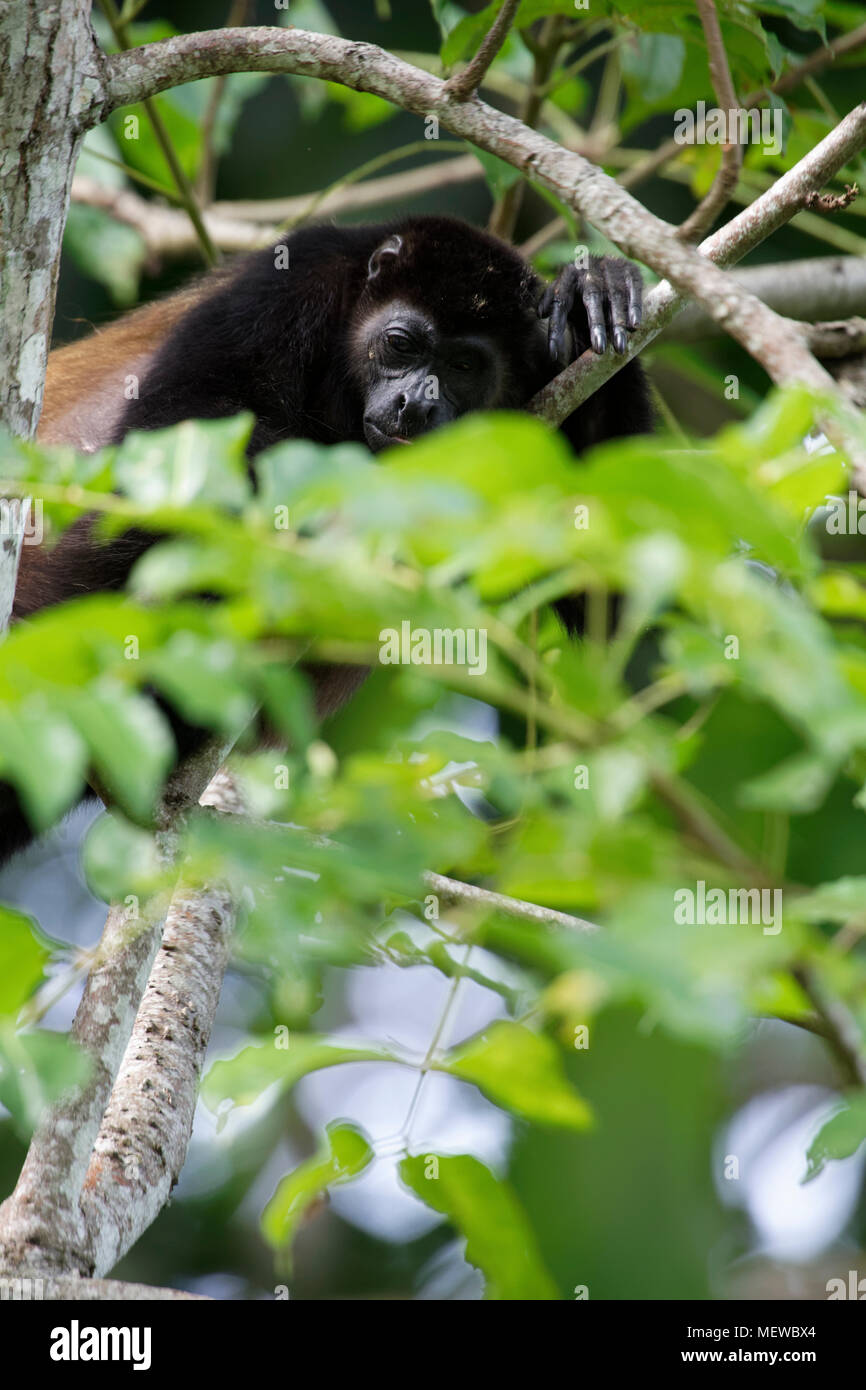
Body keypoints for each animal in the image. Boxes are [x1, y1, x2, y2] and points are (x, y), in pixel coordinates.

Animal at [5, 211, 650, 861]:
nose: (417, 404)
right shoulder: (289, 283)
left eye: (465, 368)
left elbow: (604, 591)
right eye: (400, 344)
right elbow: (182, 435)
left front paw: (593, 291)